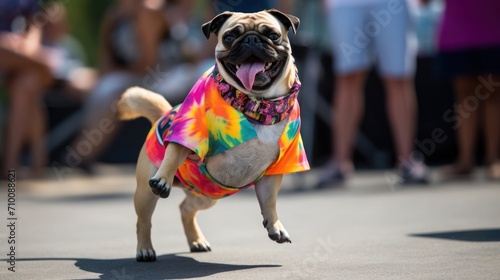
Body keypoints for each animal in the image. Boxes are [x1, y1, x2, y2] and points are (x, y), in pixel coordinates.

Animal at [118, 9, 308, 262]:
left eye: (273, 35)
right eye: (230, 37)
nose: (251, 39)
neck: (258, 104)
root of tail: (163, 114)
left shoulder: (277, 168)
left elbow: (270, 201)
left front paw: (275, 226)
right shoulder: (188, 132)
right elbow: (175, 151)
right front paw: (163, 179)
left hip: (207, 196)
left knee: (185, 208)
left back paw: (197, 241)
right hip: (145, 193)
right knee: (144, 221)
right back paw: (145, 249)